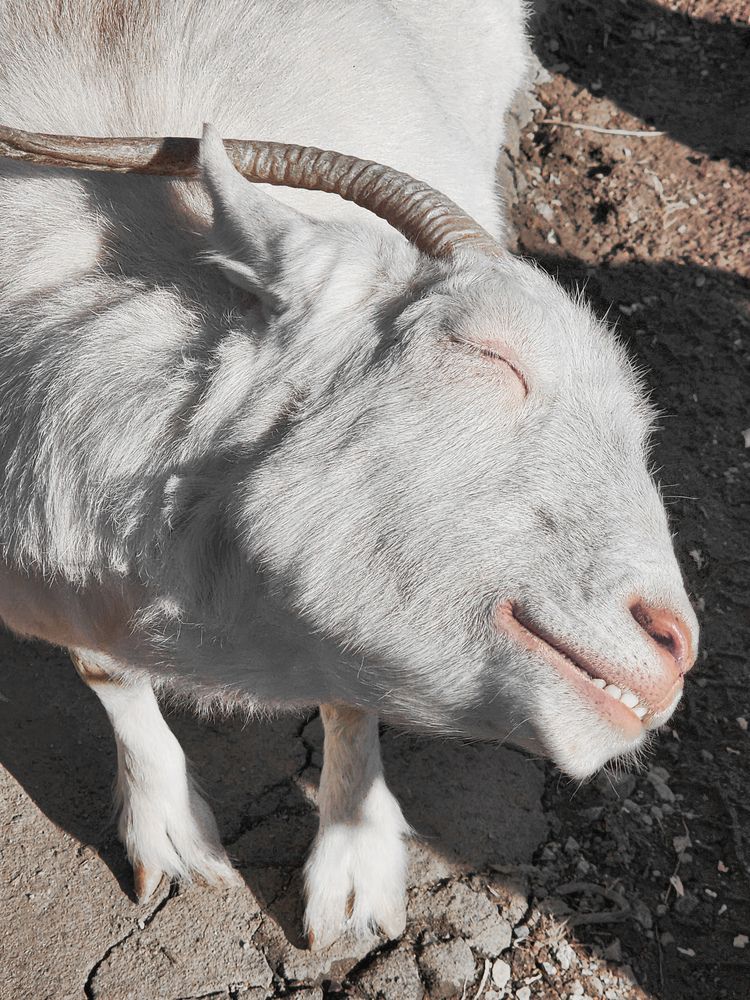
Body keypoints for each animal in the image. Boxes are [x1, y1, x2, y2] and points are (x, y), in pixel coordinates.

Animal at [0, 0, 697, 948]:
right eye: (488, 354)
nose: (674, 643)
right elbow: (105, 674)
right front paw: (171, 840)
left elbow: (349, 692)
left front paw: (357, 877)